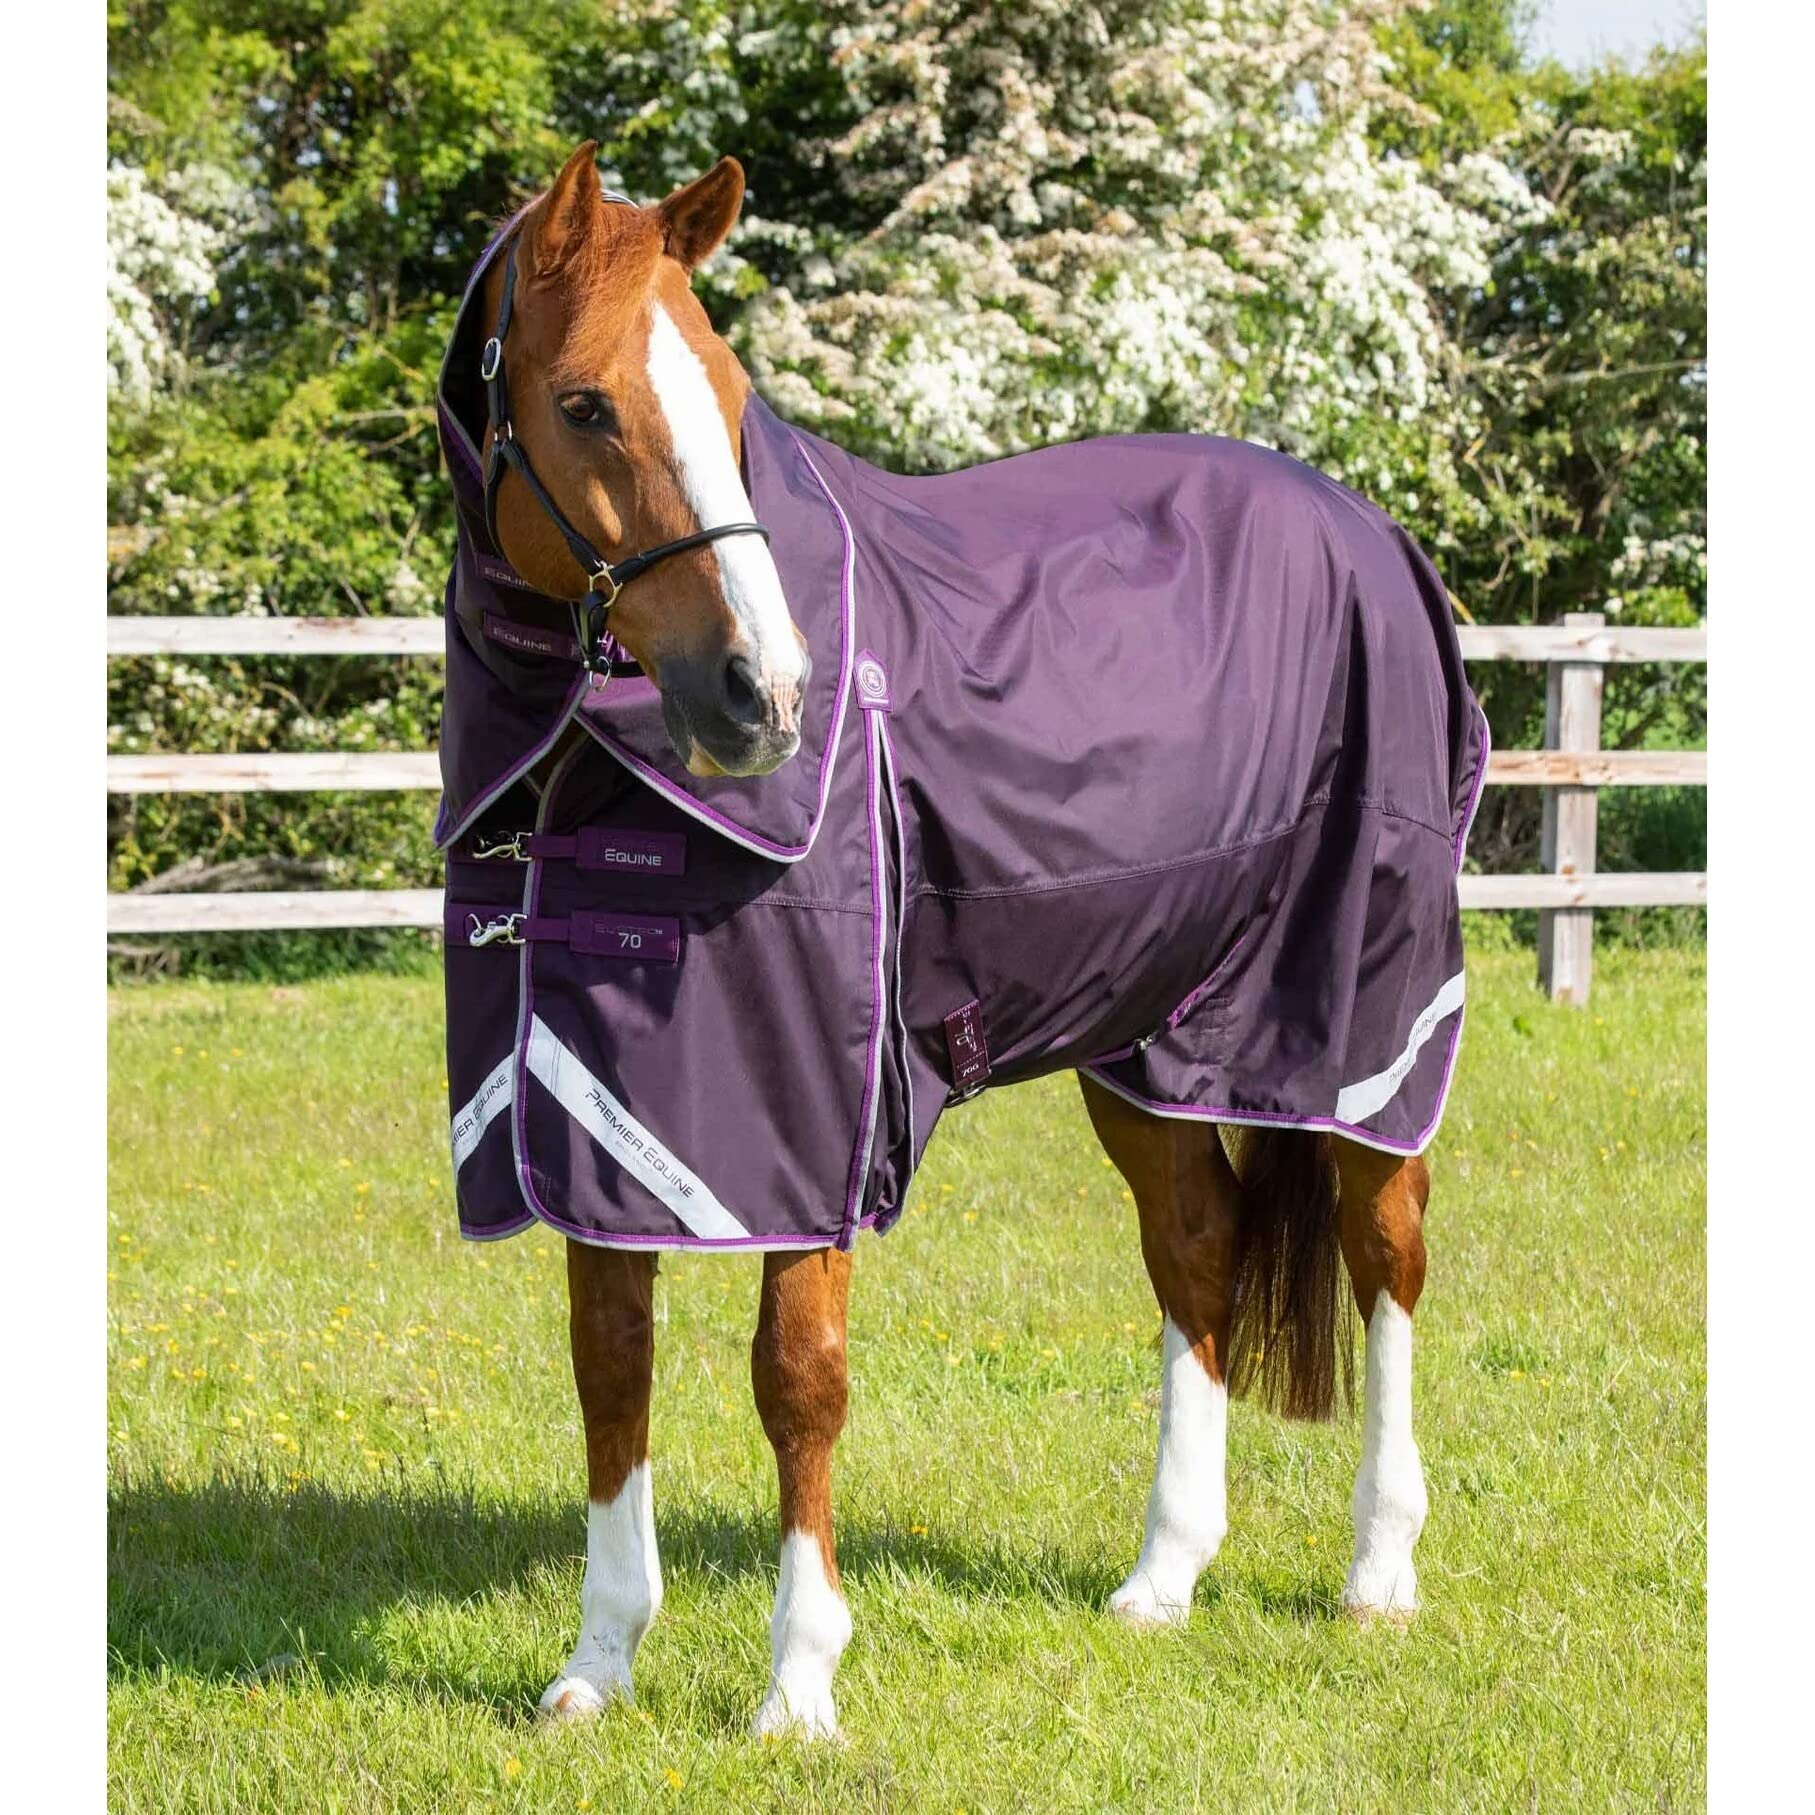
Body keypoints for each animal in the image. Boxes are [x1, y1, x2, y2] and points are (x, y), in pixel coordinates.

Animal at [435, 142, 1479, 1738]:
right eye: (584, 403)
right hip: (1152, 1043)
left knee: (1385, 1255)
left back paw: (1376, 1570)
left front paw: (798, 1683)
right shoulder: (604, 1119)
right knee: (1198, 1251)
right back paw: (1163, 1576)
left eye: (731, 395)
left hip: (1357, 1029)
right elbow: (611, 1366)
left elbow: (796, 1375)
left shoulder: (810, 1116)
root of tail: (1369, 531)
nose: (763, 692)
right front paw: (595, 1665)